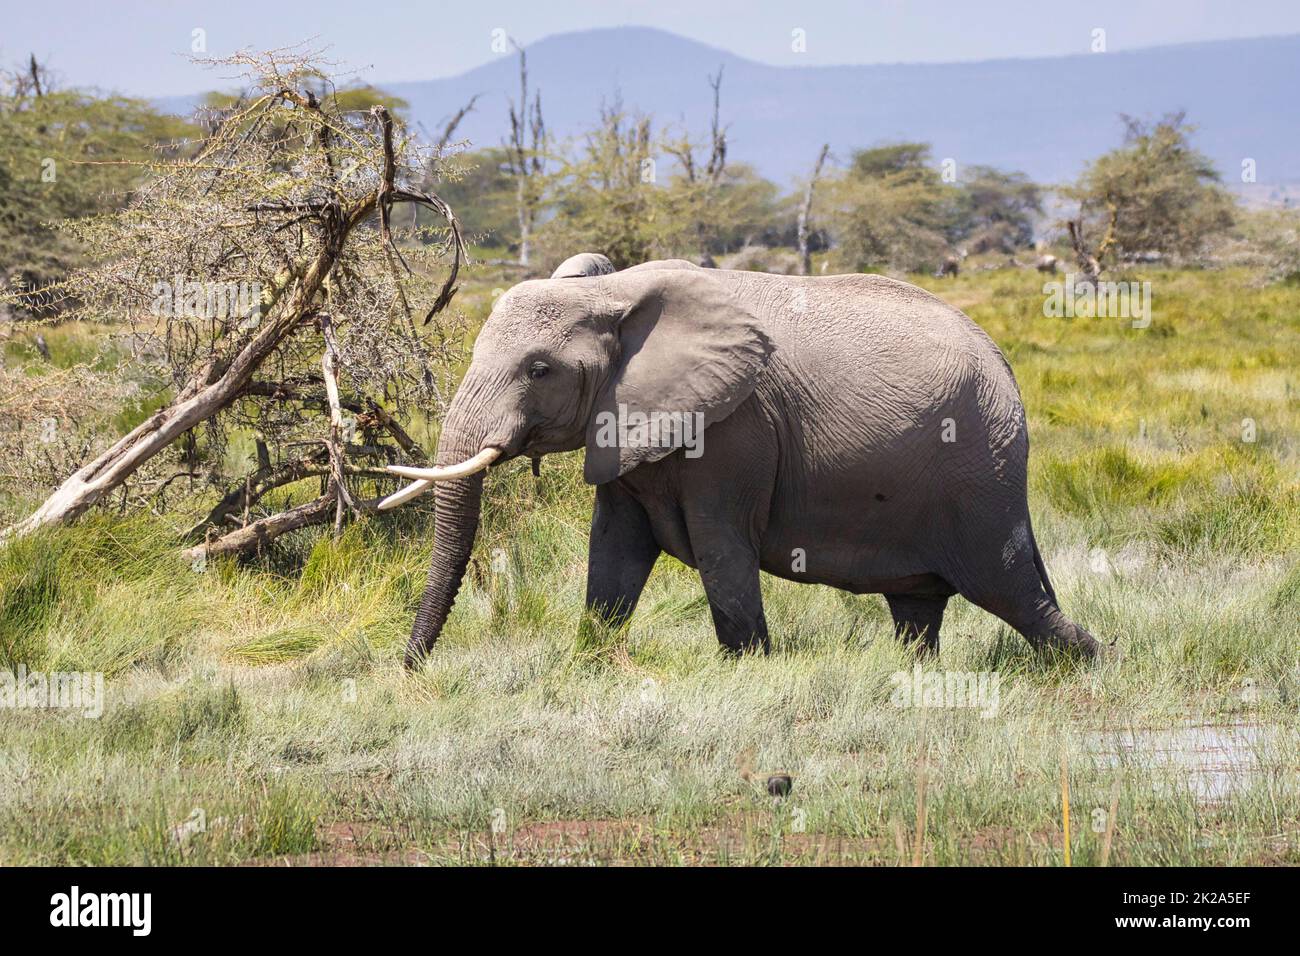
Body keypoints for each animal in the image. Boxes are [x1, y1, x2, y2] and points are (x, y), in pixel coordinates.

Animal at [381, 254, 1101, 667]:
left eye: (538, 370)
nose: (411, 667)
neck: (614, 292)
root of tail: (1003, 361)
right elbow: (614, 547)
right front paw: (588, 662)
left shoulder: (737, 431)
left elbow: (721, 546)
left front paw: (748, 669)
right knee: (919, 607)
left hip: (979, 470)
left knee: (1009, 588)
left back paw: (1088, 662)